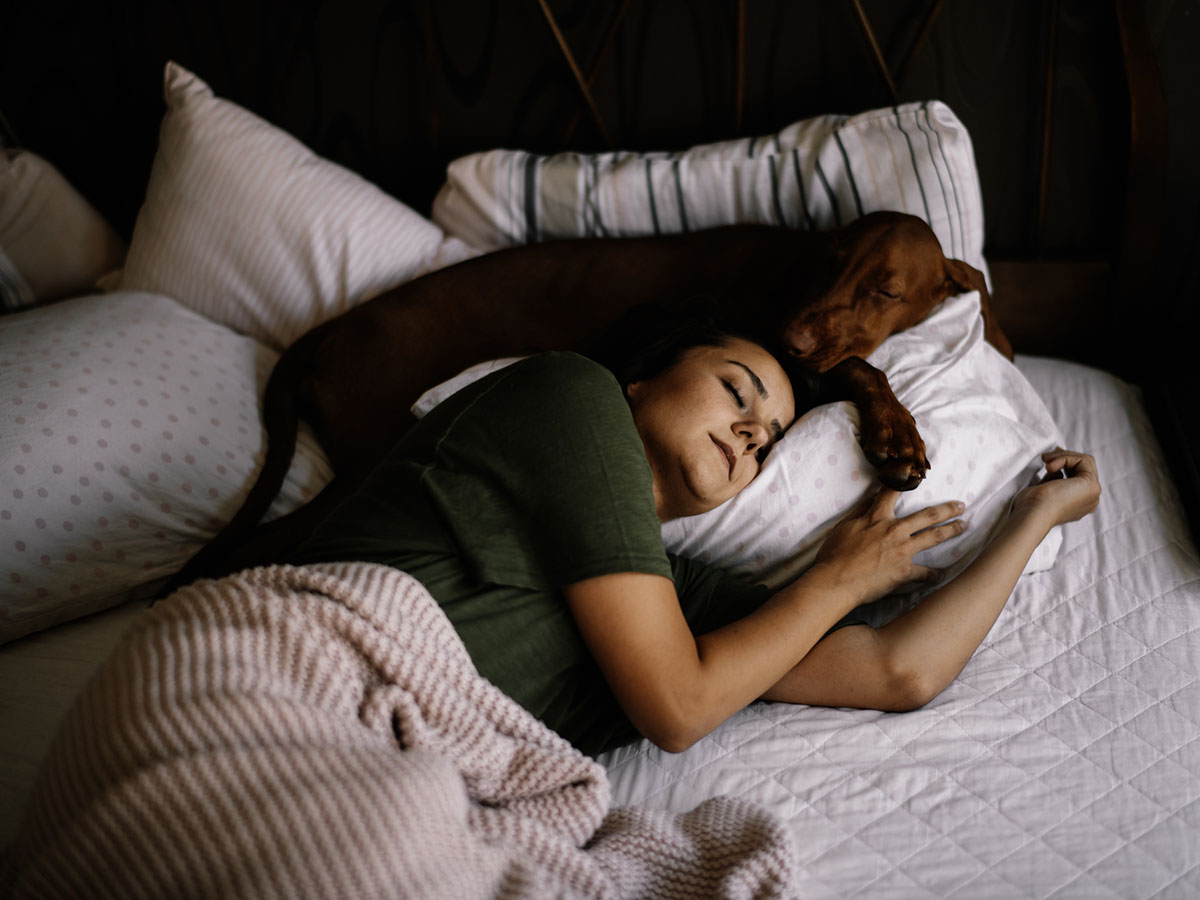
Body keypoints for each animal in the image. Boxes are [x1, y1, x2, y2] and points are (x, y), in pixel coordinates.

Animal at [174, 213, 1008, 588]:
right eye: (830, 260)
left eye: (886, 290)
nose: (792, 337)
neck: (788, 273)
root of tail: (335, 327)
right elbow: (863, 369)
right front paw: (896, 435)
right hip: (367, 458)